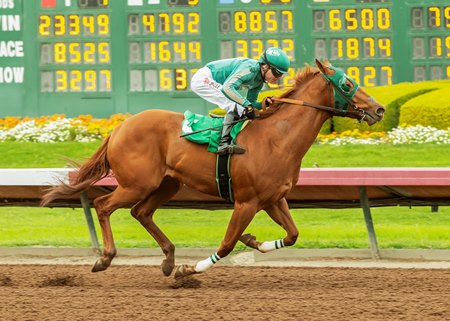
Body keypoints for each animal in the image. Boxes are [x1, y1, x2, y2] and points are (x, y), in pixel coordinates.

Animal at [42, 60, 384, 278]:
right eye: (347, 84)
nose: (379, 109)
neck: (276, 138)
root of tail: (119, 127)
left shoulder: (273, 198)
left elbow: (292, 235)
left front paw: (253, 240)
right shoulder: (246, 202)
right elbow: (227, 243)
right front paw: (190, 270)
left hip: (167, 183)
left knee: (141, 212)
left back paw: (168, 258)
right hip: (137, 183)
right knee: (103, 205)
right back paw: (106, 258)